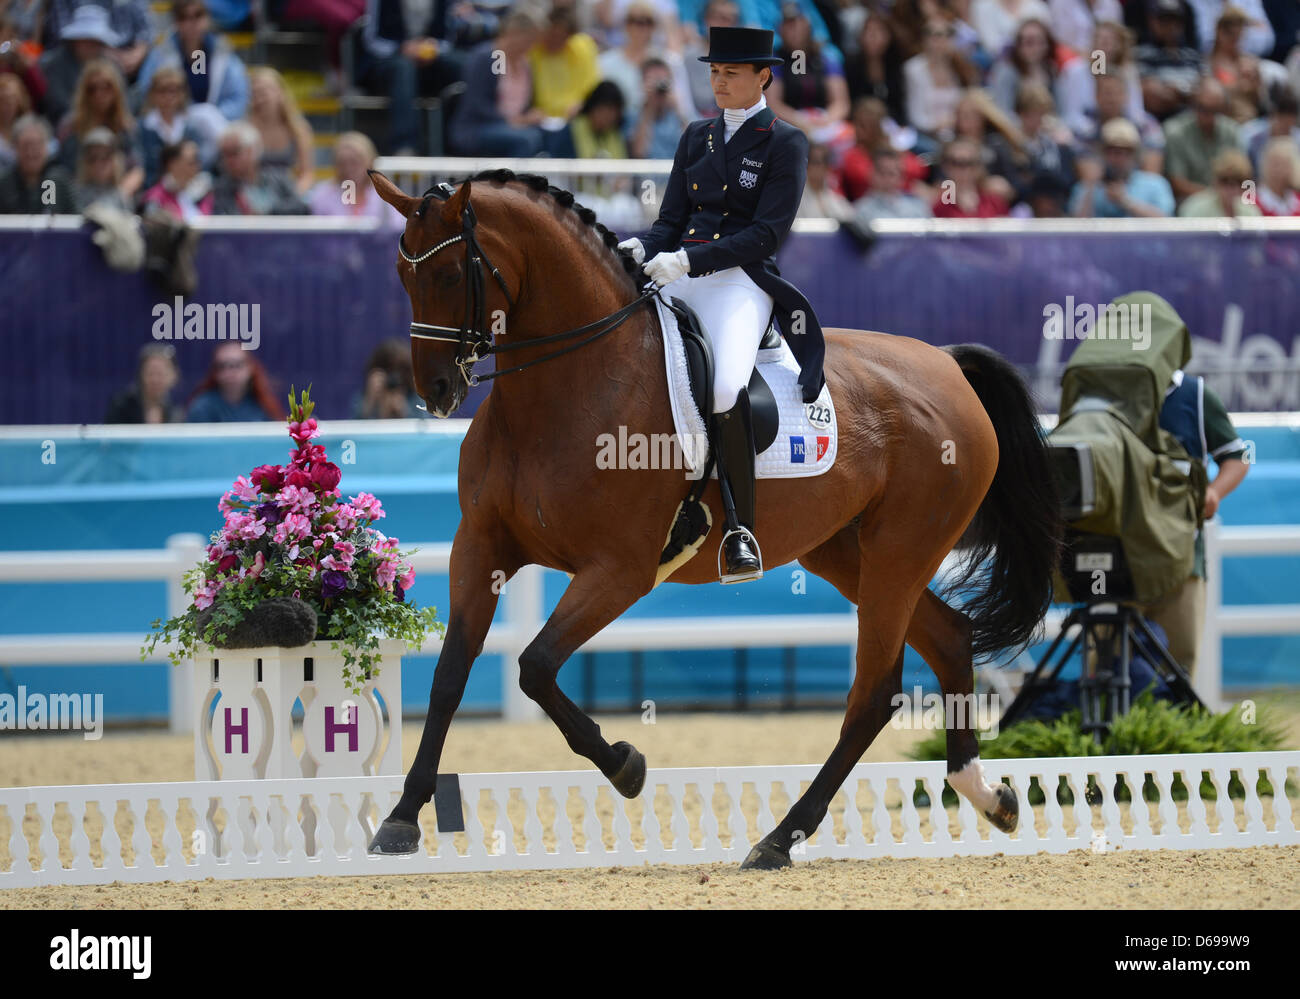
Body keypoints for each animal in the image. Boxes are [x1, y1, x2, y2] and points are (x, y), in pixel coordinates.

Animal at [364, 168, 1061, 870]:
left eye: (450, 274)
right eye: (401, 273)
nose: (435, 391)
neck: (572, 385)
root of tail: (946, 363)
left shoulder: (620, 570)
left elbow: (534, 666)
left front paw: (626, 766)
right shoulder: (480, 547)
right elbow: (449, 674)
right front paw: (400, 819)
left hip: (902, 552)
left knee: (873, 690)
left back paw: (781, 838)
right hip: (846, 552)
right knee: (948, 638)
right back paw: (989, 796)